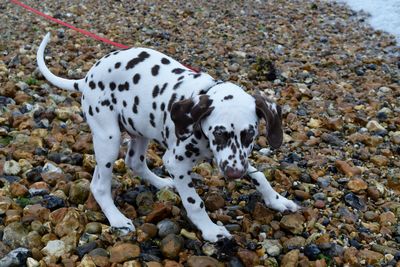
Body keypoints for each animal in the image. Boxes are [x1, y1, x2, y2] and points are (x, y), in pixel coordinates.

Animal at [37, 31, 298, 243]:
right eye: (219, 133)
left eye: (249, 135)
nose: (234, 174)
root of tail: (87, 78)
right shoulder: (177, 163)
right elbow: (195, 202)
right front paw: (211, 230)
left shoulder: (232, 157)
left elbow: (259, 175)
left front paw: (276, 200)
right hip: (108, 138)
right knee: (100, 185)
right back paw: (117, 219)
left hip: (140, 128)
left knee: (132, 163)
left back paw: (161, 183)